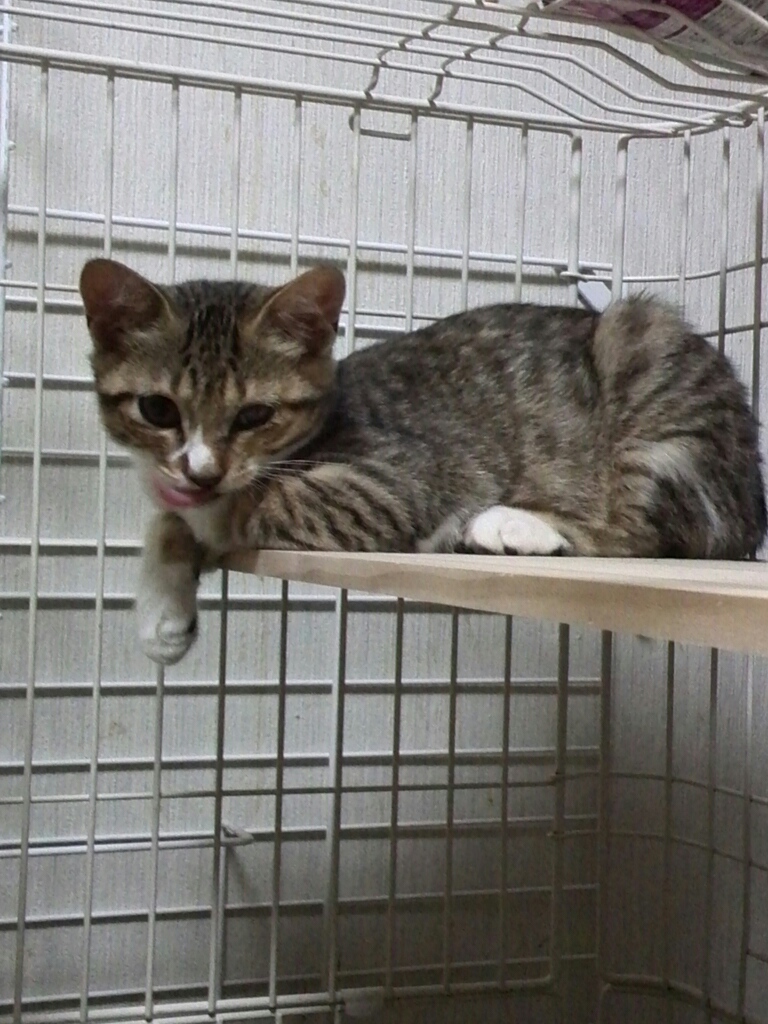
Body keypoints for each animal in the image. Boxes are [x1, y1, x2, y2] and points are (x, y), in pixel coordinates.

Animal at [79, 258, 767, 665]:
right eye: (157, 408)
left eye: (254, 415)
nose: (202, 470)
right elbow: (166, 520)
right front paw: (162, 614)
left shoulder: (389, 482)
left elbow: (251, 503)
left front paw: (204, 514)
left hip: (652, 376)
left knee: (647, 533)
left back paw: (509, 524)